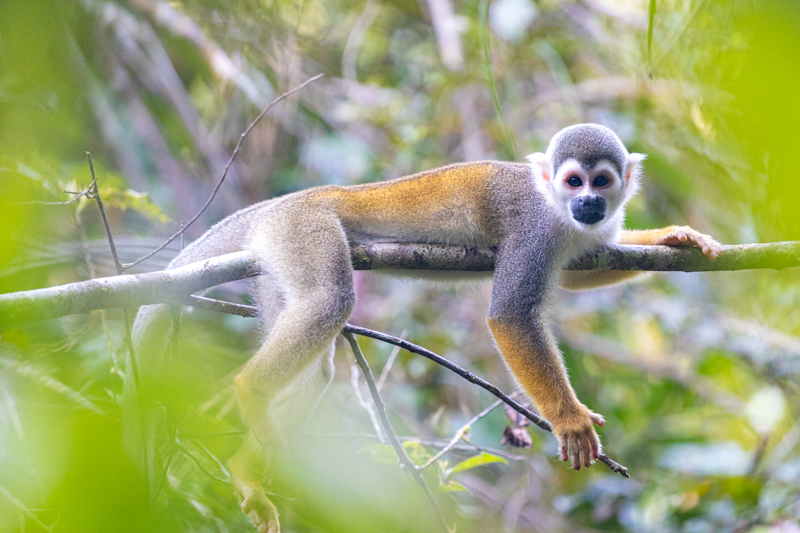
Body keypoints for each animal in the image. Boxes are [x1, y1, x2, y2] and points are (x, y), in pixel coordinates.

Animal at [131, 123, 720, 528]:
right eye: (573, 180)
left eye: (602, 181)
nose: (590, 201)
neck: (558, 211)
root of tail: (280, 204)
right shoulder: (535, 228)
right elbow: (510, 315)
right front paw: (568, 418)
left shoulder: (579, 233)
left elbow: (580, 274)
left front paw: (673, 237)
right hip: (303, 229)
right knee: (328, 300)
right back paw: (251, 392)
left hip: (277, 262)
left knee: (315, 356)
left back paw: (247, 473)